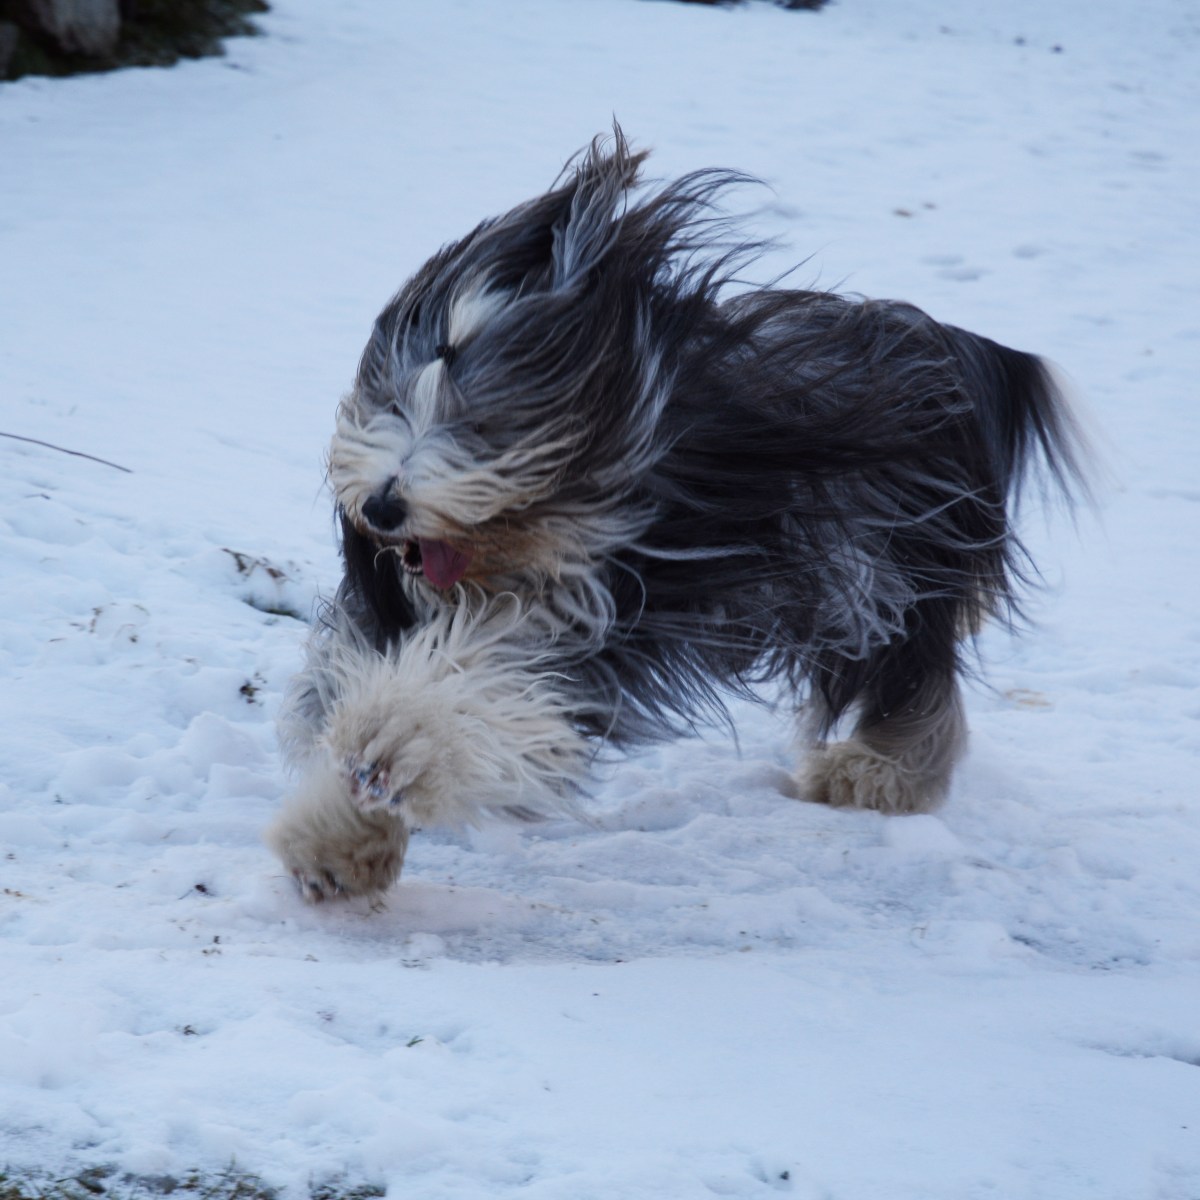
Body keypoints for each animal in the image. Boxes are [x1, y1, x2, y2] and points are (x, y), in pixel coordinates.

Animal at [266, 128, 1087, 902]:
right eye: (390, 398)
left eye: (482, 421)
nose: (382, 505)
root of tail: (939, 348)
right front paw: (339, 842)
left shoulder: (617, 611)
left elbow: (471, 690)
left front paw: (395, 745)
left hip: (884, 572)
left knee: (914, 671)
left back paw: (881, 772)